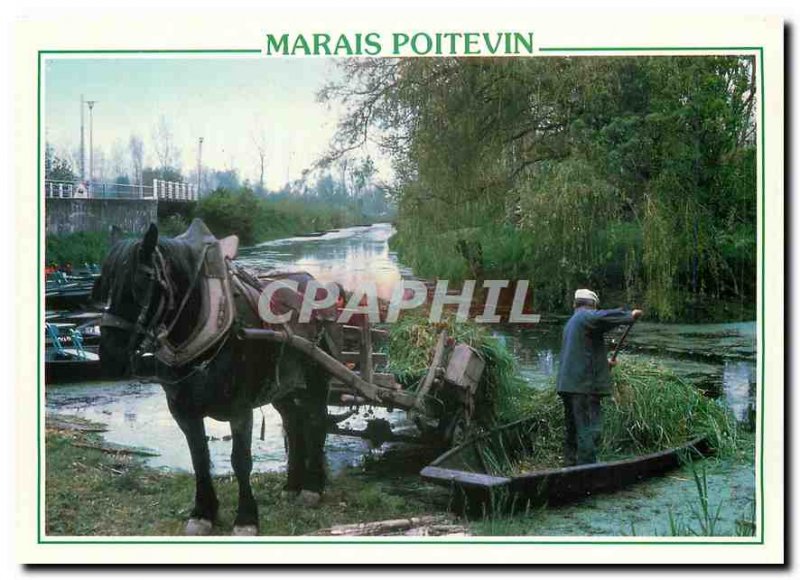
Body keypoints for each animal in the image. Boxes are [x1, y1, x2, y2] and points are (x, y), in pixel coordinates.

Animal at [94, 221, 332, 536]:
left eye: (142, 283)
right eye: (102, 286)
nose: (110, 356)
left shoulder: (240, 409)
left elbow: (240, 461)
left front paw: (246, 519)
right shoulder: (182, 410)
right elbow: (199, 458)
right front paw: (203, 513)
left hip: (316, 379)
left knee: (317, 421)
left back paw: (312, 487)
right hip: (283, 386)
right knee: (293, 423)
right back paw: (292, 485)